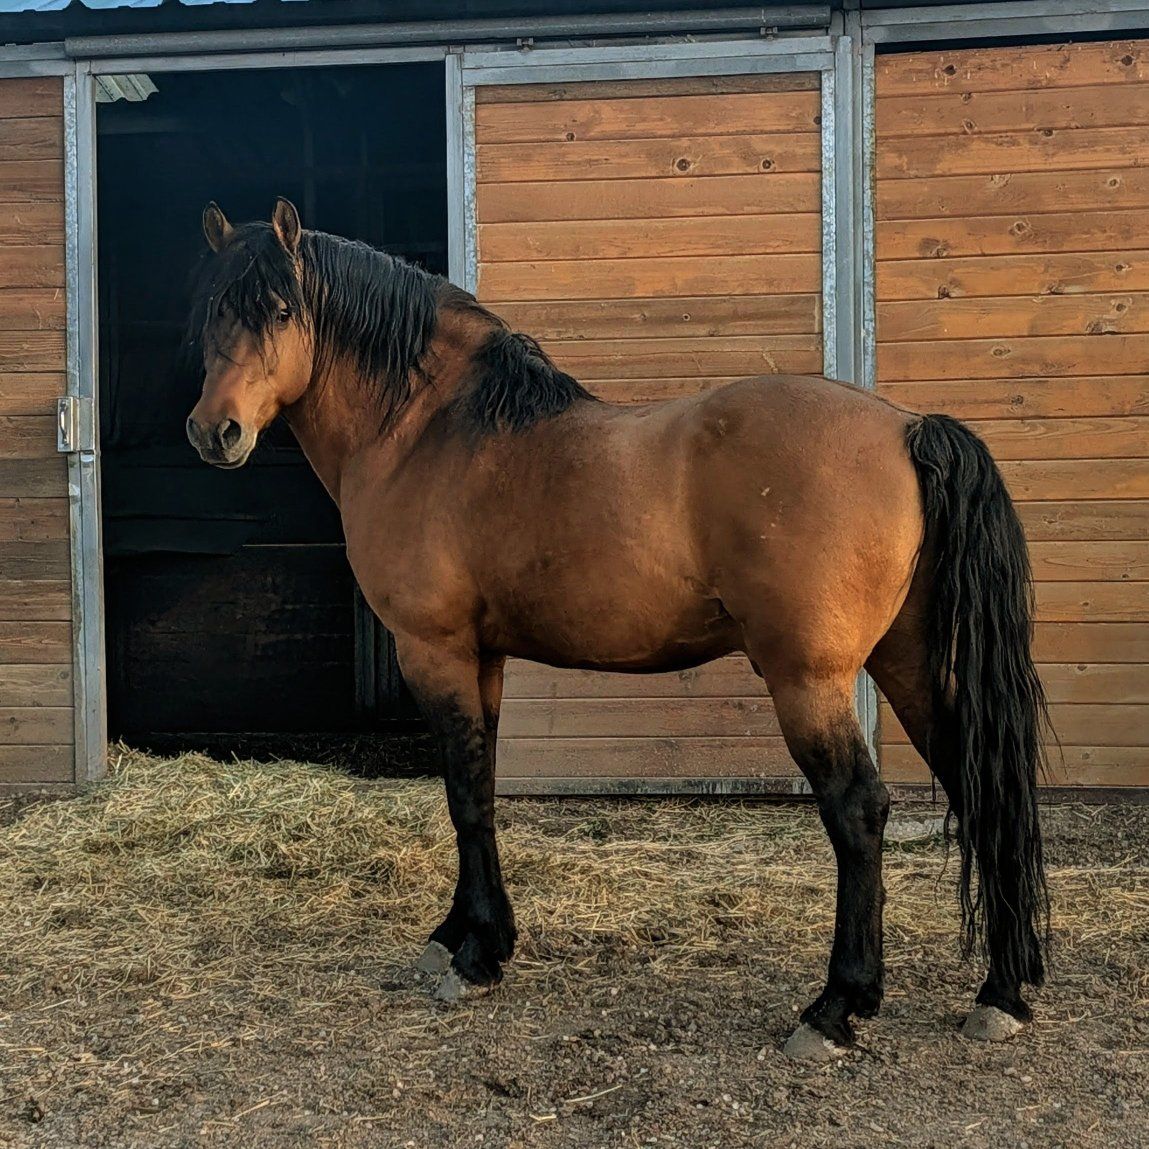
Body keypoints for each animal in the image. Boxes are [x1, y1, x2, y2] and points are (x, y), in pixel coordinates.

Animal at [184, 198, 1049, 1059]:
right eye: (213, 309)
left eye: (281, 310)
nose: (213, 431)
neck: (429, 431)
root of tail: (906, 427)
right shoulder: (483, 657)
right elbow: (480, 786)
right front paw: (463, 933)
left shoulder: (435, 650)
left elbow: (462, 793)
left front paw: (475, 956)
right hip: (908, 663)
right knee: (977, 783)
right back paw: (1000, 992)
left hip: (809, 679)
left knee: (858, 810)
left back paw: (836, 1006)